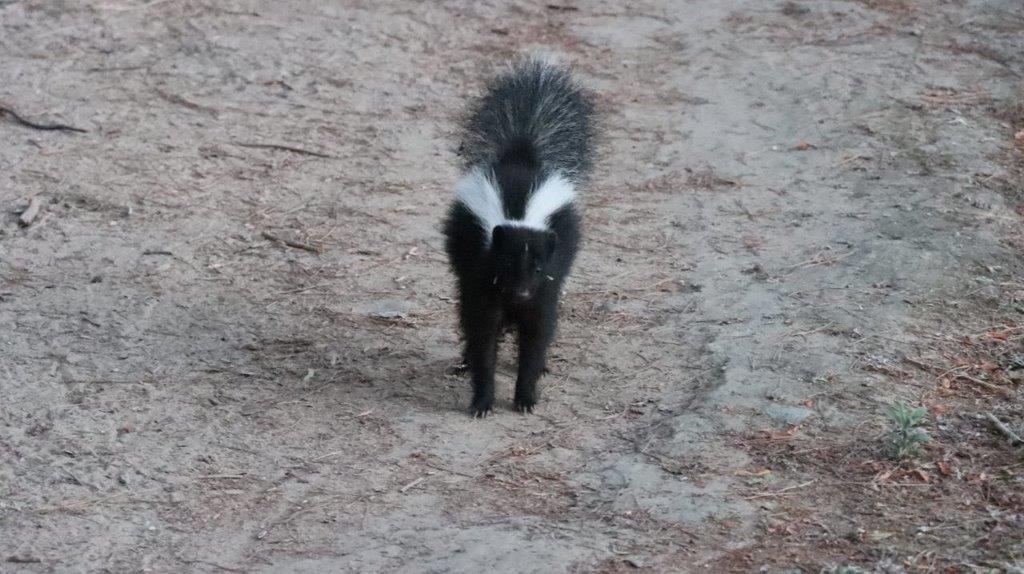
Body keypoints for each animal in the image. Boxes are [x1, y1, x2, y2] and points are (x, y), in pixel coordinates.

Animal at [440, 58, 593, 415]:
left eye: (537, 268)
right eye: (508, 264)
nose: (521, 292)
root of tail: (522, 153)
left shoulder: (545, 286)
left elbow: (536, 333)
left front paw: (526, 395)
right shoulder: (483, 278)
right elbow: (483, 334)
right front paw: (482, 399)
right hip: (462, 257)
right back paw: (465, 359)